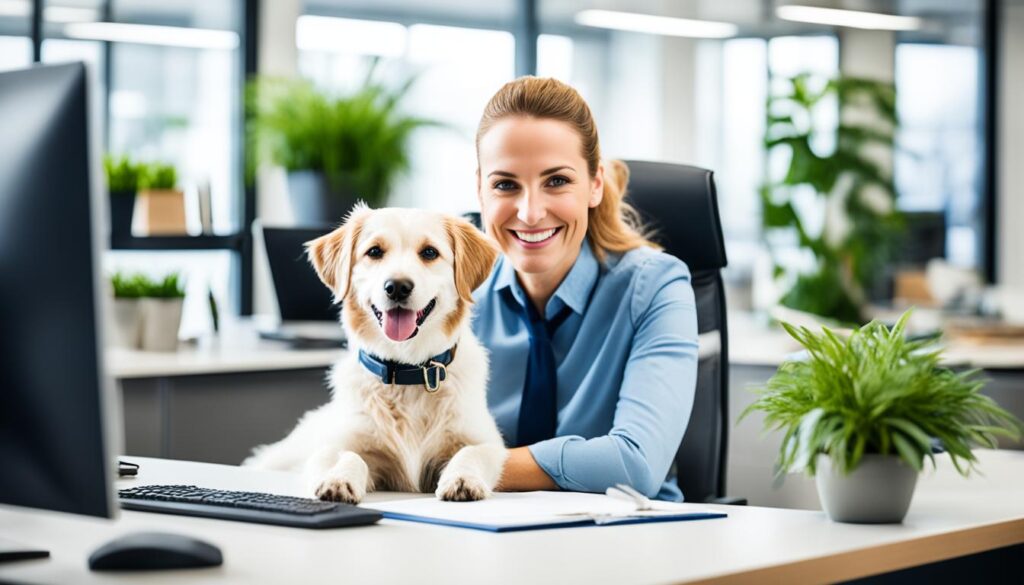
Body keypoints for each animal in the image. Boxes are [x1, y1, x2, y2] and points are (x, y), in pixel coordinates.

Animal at [243, 202, 507, 504]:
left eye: (429, 252)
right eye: (374, 252)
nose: (397, 287)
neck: (407, 371)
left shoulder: (487, 440)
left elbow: (471, 452)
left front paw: (463, 479)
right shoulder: (336, 446)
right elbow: (348, 456)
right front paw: (339, 479)